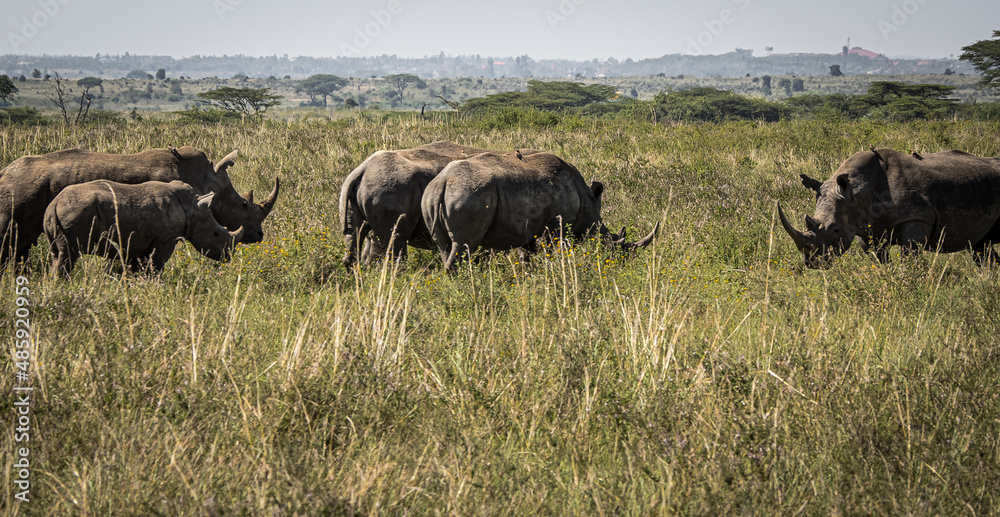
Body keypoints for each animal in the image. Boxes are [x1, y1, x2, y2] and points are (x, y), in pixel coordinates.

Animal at [42, 179, 246, 276]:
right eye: (216, 233)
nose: (228, 257)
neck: (191, 208)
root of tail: (54, 204)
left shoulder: (139, 241)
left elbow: (138, 267)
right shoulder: (166, 239)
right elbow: (157, 265)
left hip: (55, 216)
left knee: (56, 254)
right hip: (74, 213)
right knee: (68, 255)